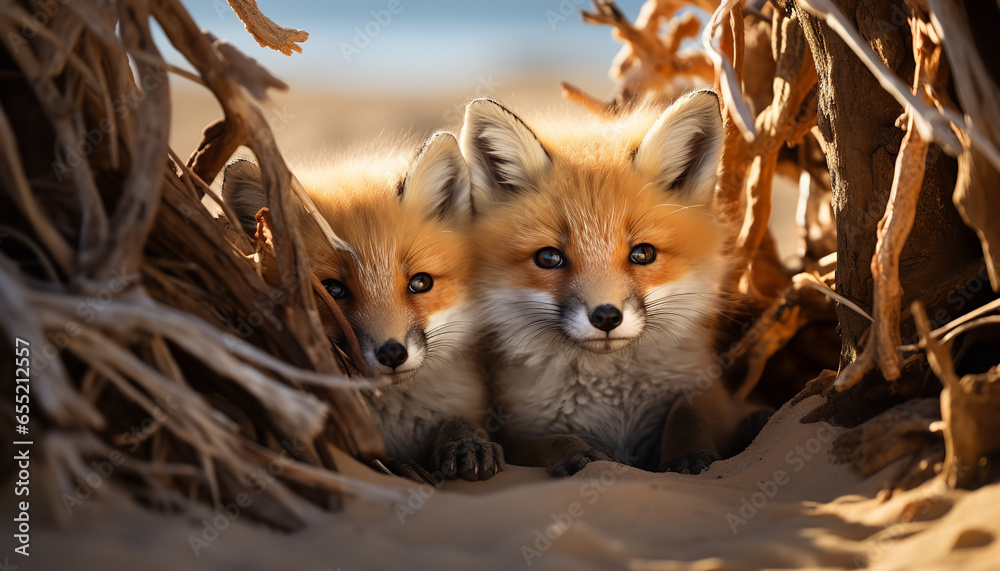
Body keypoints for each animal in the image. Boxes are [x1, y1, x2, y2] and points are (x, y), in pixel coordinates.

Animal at [221, 132, 504, 483]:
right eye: (332, 290)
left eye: (420, 283)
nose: (392, 353)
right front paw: (395, 465)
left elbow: (460, 421)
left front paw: (467, 441)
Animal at [460, 90, 764, 476]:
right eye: (549, 258)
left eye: (643, 253)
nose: (606, 317)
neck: (615, 405)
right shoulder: (516, 432)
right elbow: (550, 441)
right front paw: (580, 453)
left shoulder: (706, 390)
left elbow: (688, 415)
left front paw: (690, 454)